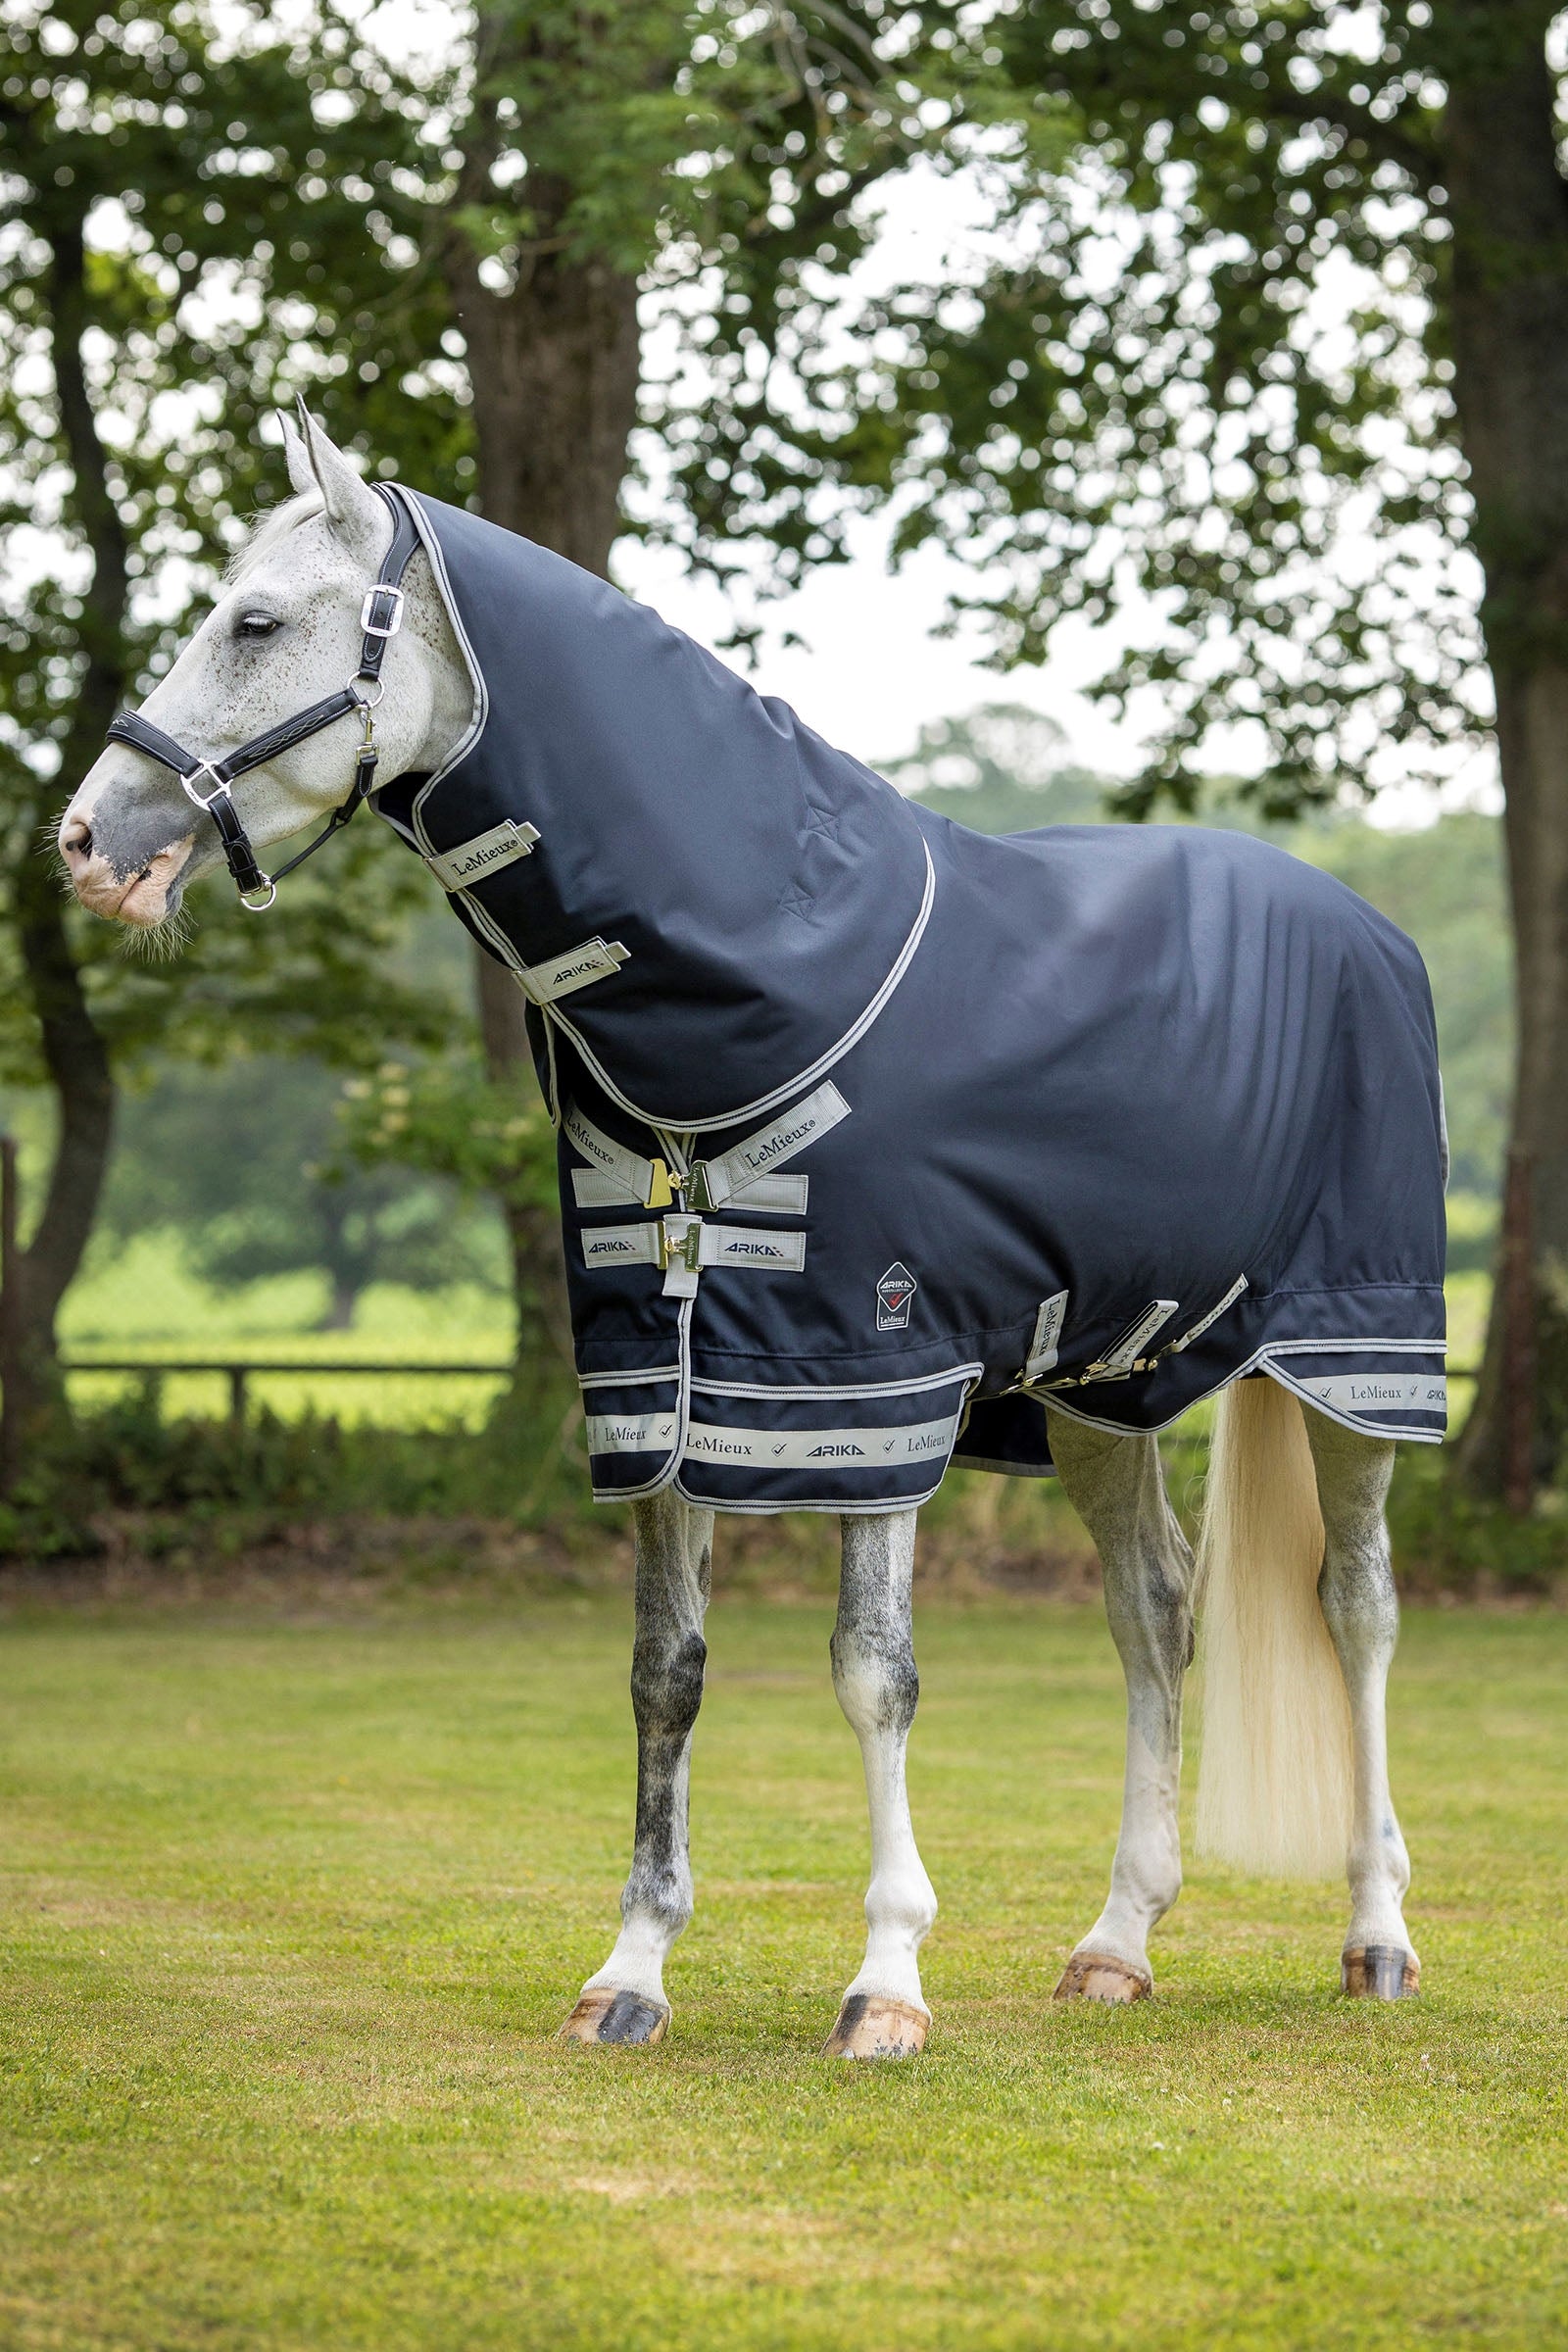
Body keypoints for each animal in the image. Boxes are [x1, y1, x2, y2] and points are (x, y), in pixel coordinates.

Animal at [59, 412, 1439, 2056]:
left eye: (256, 624)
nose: (89, 840)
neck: (769, 981)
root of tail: (1371, 930)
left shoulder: (871, 1383)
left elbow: (874, 1676)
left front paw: (887, 1982)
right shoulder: (663, 1386)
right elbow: (665, 1674)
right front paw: (630, 1973)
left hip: (1354, 1363)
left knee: (1357, 1613)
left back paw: (1377, 1933)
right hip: (1103, 1384)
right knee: (1154, 1613)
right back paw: (1117, 1941)